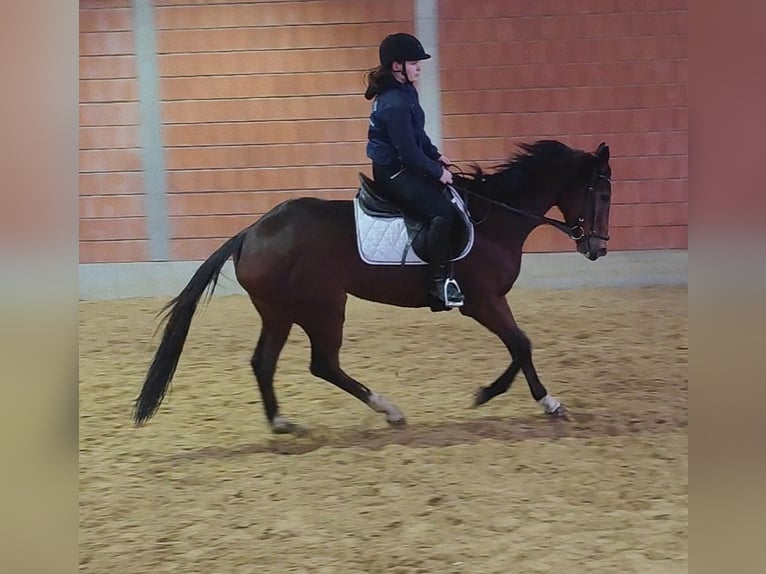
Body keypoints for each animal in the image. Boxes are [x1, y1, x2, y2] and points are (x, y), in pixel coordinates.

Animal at [134, 139, 612, 434]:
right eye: (602, 194)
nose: (598, 248)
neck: (495, 220)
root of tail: (251, 232)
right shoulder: (480, 301)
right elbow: (521, 343)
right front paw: (537, 400)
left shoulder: (490, 302)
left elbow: (519, 345)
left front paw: (493, 393)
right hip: (324, 308)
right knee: (323, 364)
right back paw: (389, 409)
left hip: (279, 312)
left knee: (264, 363)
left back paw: (281, 423)